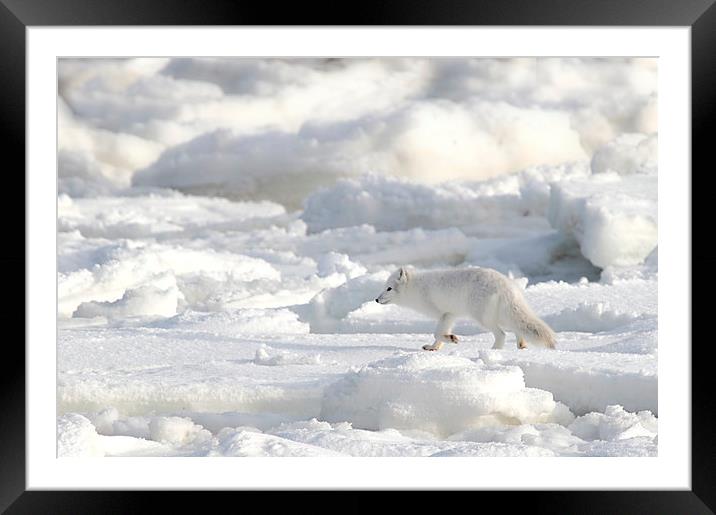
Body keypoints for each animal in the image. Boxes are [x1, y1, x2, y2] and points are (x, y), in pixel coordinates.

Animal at [378, 268, 556, 352]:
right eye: (384, 287)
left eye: (388, 288)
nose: (376, 299)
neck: (416, 288)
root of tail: (506, 285)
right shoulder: (449, 315)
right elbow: (439, 334)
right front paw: (434, 347)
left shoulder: (445, 313)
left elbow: (437, 333)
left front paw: (452, 339)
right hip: (501, 315)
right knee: (517, 328)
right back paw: (521, 345)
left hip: (482, 318)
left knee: (502, 334)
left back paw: (493, 351)